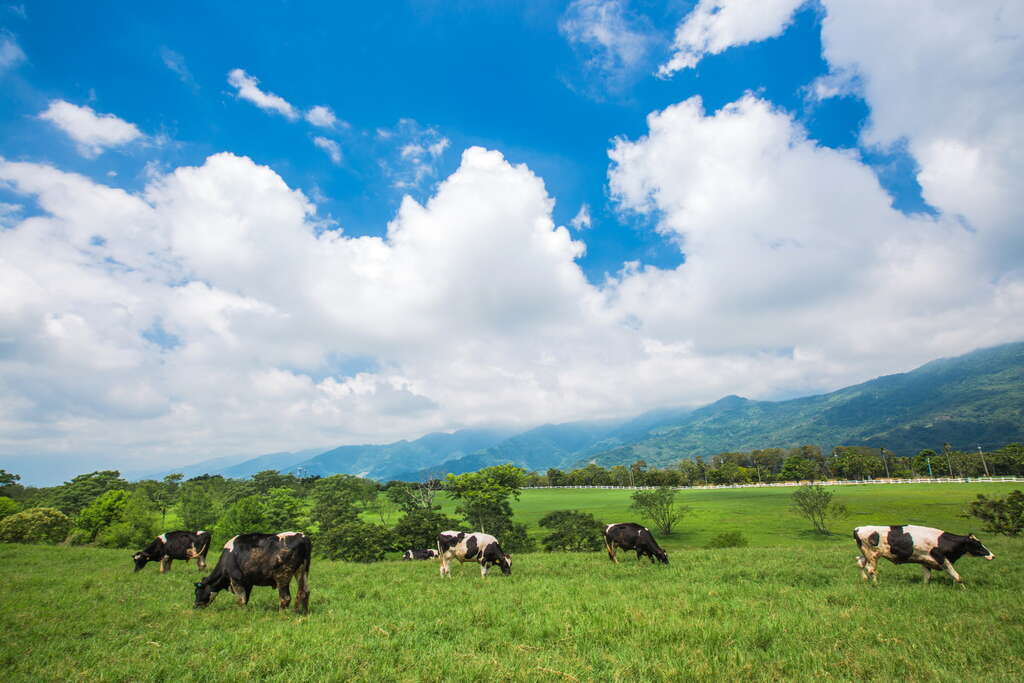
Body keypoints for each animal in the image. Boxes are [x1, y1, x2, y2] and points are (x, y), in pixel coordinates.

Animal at [851, 528, 995, 589]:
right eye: (977, 544)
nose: (992, 556)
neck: (942, 541)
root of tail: (858, 528)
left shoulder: (926, 560)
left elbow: (927, 577)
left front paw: (925, 587)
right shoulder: (942, 559)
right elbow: (957, 576)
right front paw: (964, 589)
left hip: (867, 554)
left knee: (860, 562)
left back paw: (865, 580)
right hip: (872, 554)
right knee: (871, 569)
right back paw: (875, 584)